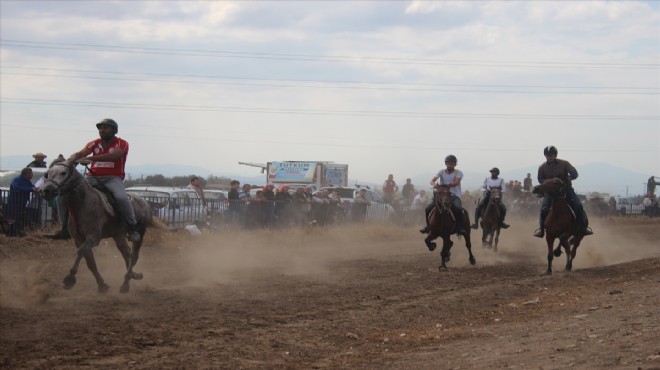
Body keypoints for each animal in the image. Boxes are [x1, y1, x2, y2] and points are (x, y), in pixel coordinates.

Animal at [40, 160, 168, 294]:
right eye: (47, 174)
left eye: (63, 173)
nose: (46, 190)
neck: (83, 203)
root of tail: (145, 203)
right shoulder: (79, 240)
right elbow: (90, 262)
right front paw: (101, 284)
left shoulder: (93, 238)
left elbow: (80, 252)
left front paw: (70, 278)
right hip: (118, 235)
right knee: (126, 253)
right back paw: (133, 276)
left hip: (140, 233)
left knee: (134, 256)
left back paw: (125, 284)